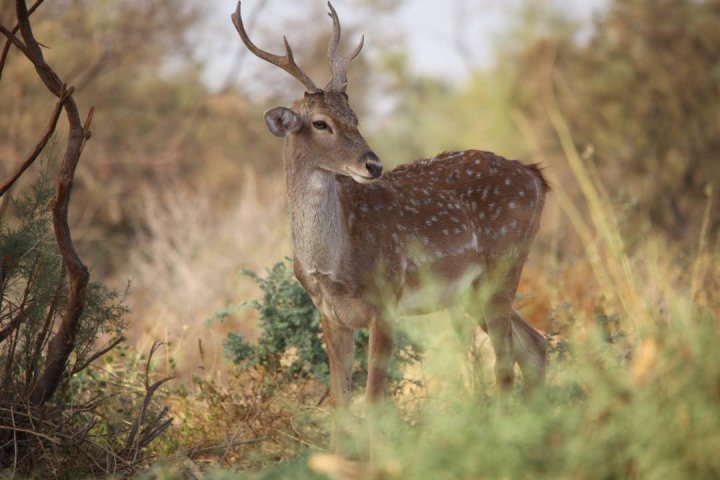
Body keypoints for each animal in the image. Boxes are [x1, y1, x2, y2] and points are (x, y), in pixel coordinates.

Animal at [233, 0, 548, 450]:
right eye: (320, 123)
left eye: (355, 117)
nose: (373, 164)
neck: (333, 263)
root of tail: (536, 177)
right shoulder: (330, 315)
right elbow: (340, 402)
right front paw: (336, 457)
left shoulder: (386, 300)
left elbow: (374, 400)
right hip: (471, 290)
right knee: (533, 346)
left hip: (504, 263)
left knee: (506, 362)